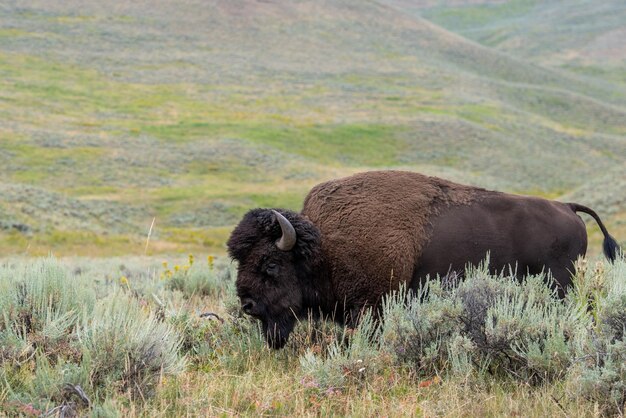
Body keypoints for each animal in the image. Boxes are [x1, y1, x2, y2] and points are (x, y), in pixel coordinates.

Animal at [227, 171, 616, 350]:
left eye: (270, 264)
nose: (247, 304)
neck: (323, 246)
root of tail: (567, 207)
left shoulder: (371, 306)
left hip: (560, 286)